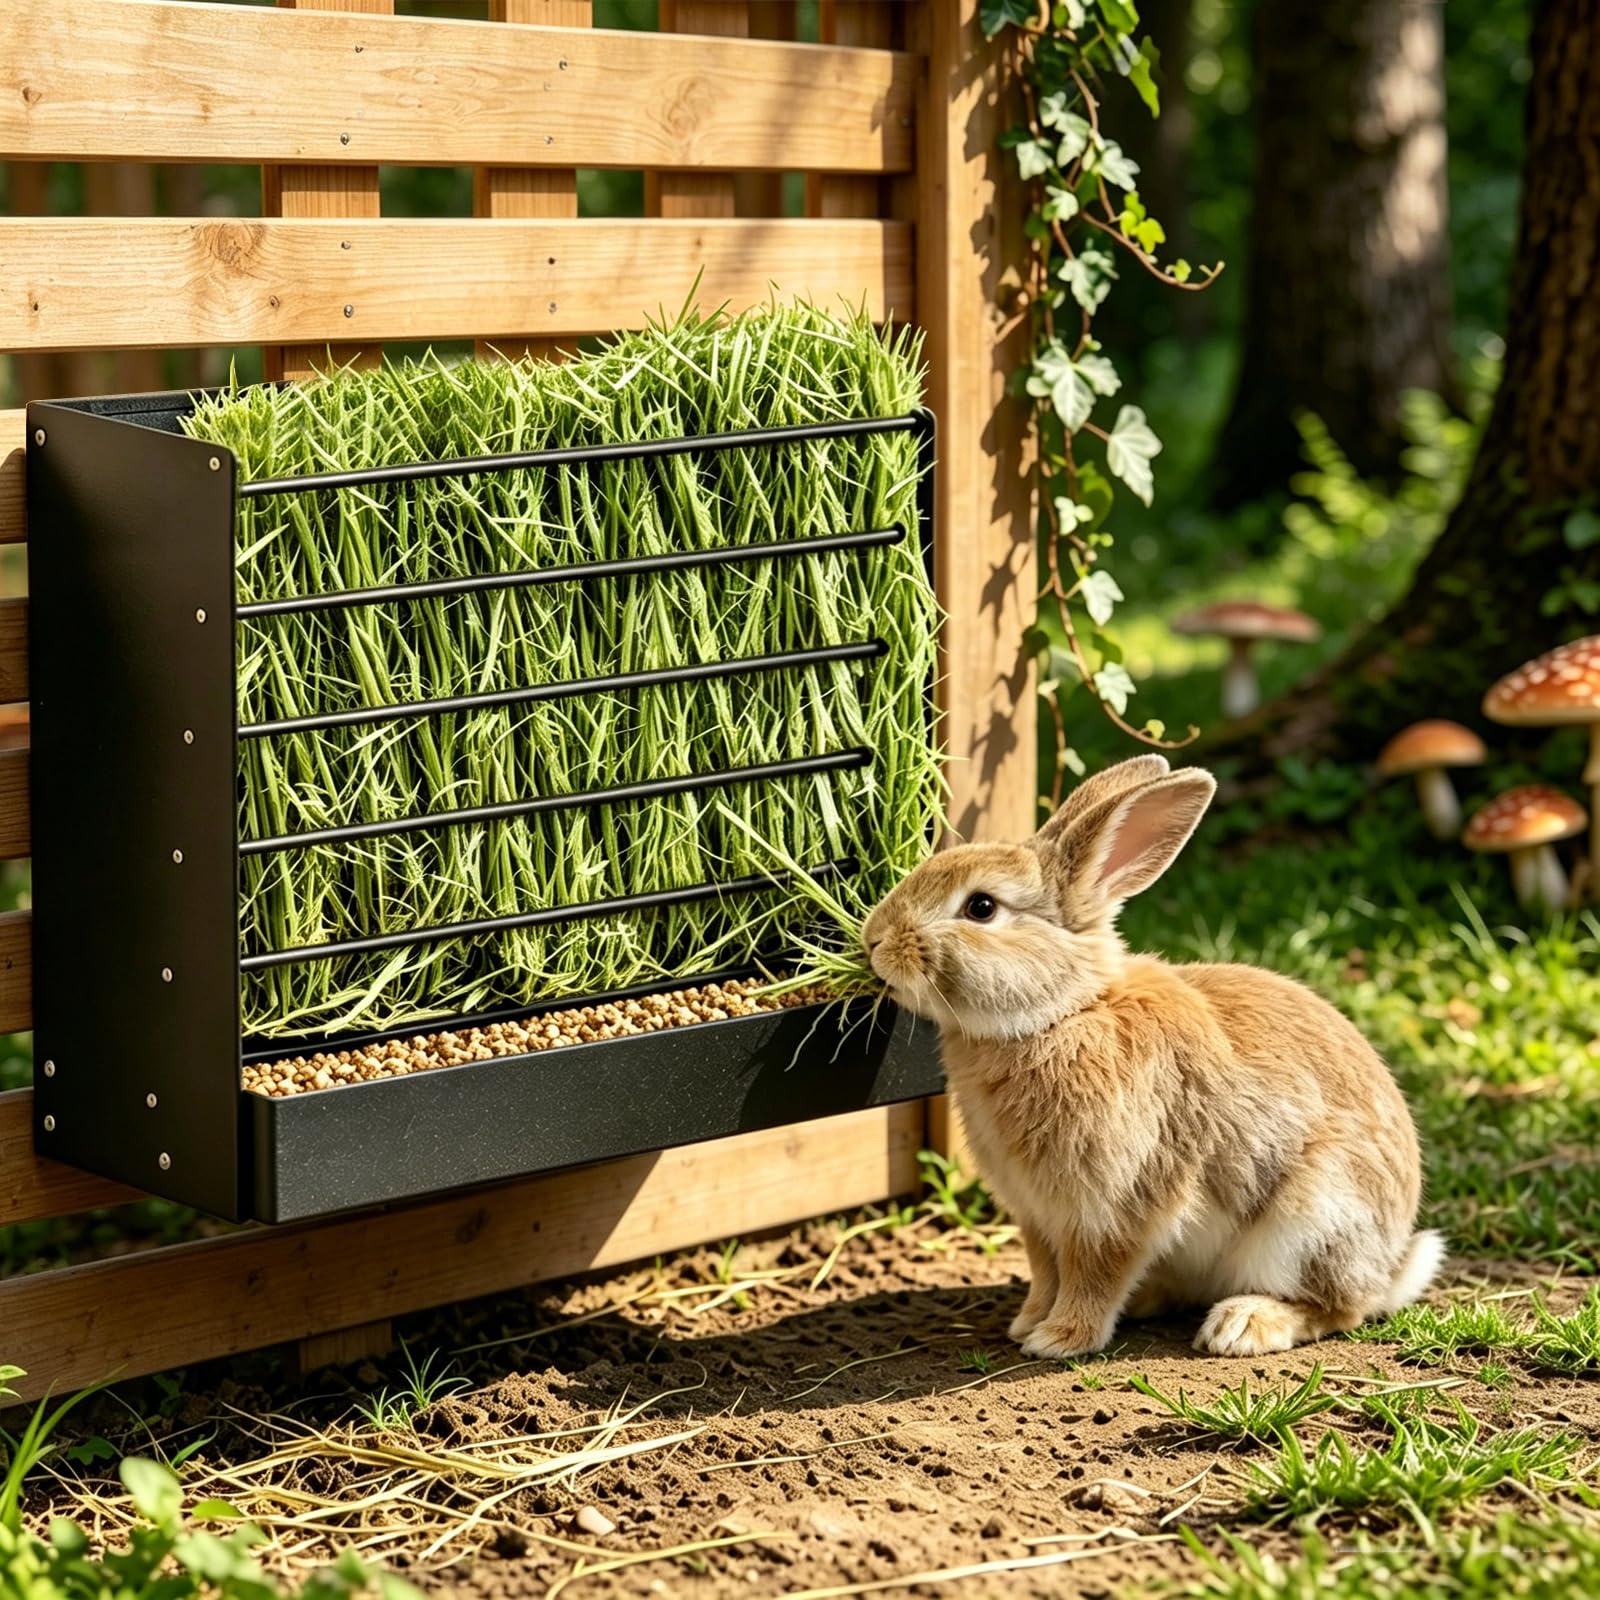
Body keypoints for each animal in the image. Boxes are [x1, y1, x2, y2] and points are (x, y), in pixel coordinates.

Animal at [862, 754, 1443, 1359]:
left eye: (981, 907)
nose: (874, 939)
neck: (1063, 1015)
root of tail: (1389, 1266)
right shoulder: (1036, 1215)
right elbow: (1046, 1271)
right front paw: (1027, 1323)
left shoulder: (1116, 1203)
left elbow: (1095, 1273)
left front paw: (1060, 1339)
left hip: (1311, 1220)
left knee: (1338, 1308)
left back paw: (1243, 1325)